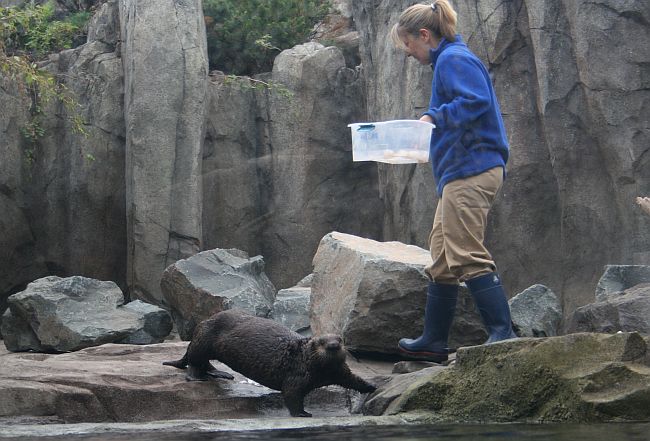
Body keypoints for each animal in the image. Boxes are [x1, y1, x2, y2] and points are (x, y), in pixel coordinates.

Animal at [162, 308, 374, 414]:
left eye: (340, 339)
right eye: (321, 342)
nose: (333, 345)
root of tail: (202, 323)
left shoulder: (340, 372)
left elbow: (354, 380)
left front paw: (371, 387)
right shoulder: (296, 377)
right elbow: (291, 396)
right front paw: (303, 413)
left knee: (202, 362)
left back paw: (220, 373)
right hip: (204, 340)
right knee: (194, 362)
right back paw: (197, 377)